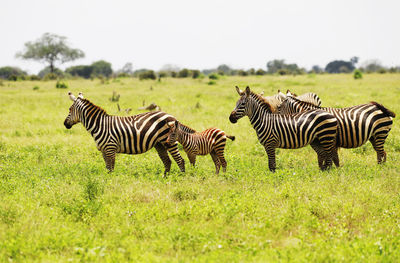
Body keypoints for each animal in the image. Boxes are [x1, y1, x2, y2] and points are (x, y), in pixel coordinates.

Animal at [64, 92, 194, 176]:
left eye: (70, 109)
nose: (65, 124)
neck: (100, 125)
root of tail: (172, 116)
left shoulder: (110, 148)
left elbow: (111, 169)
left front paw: (110, 183)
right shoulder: (104, 151)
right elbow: (107, 168)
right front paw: (106, 181)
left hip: (170, 142)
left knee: (180, 160)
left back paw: (181, 178)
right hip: (160, 144)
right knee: (167, 161)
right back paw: (165, 178)